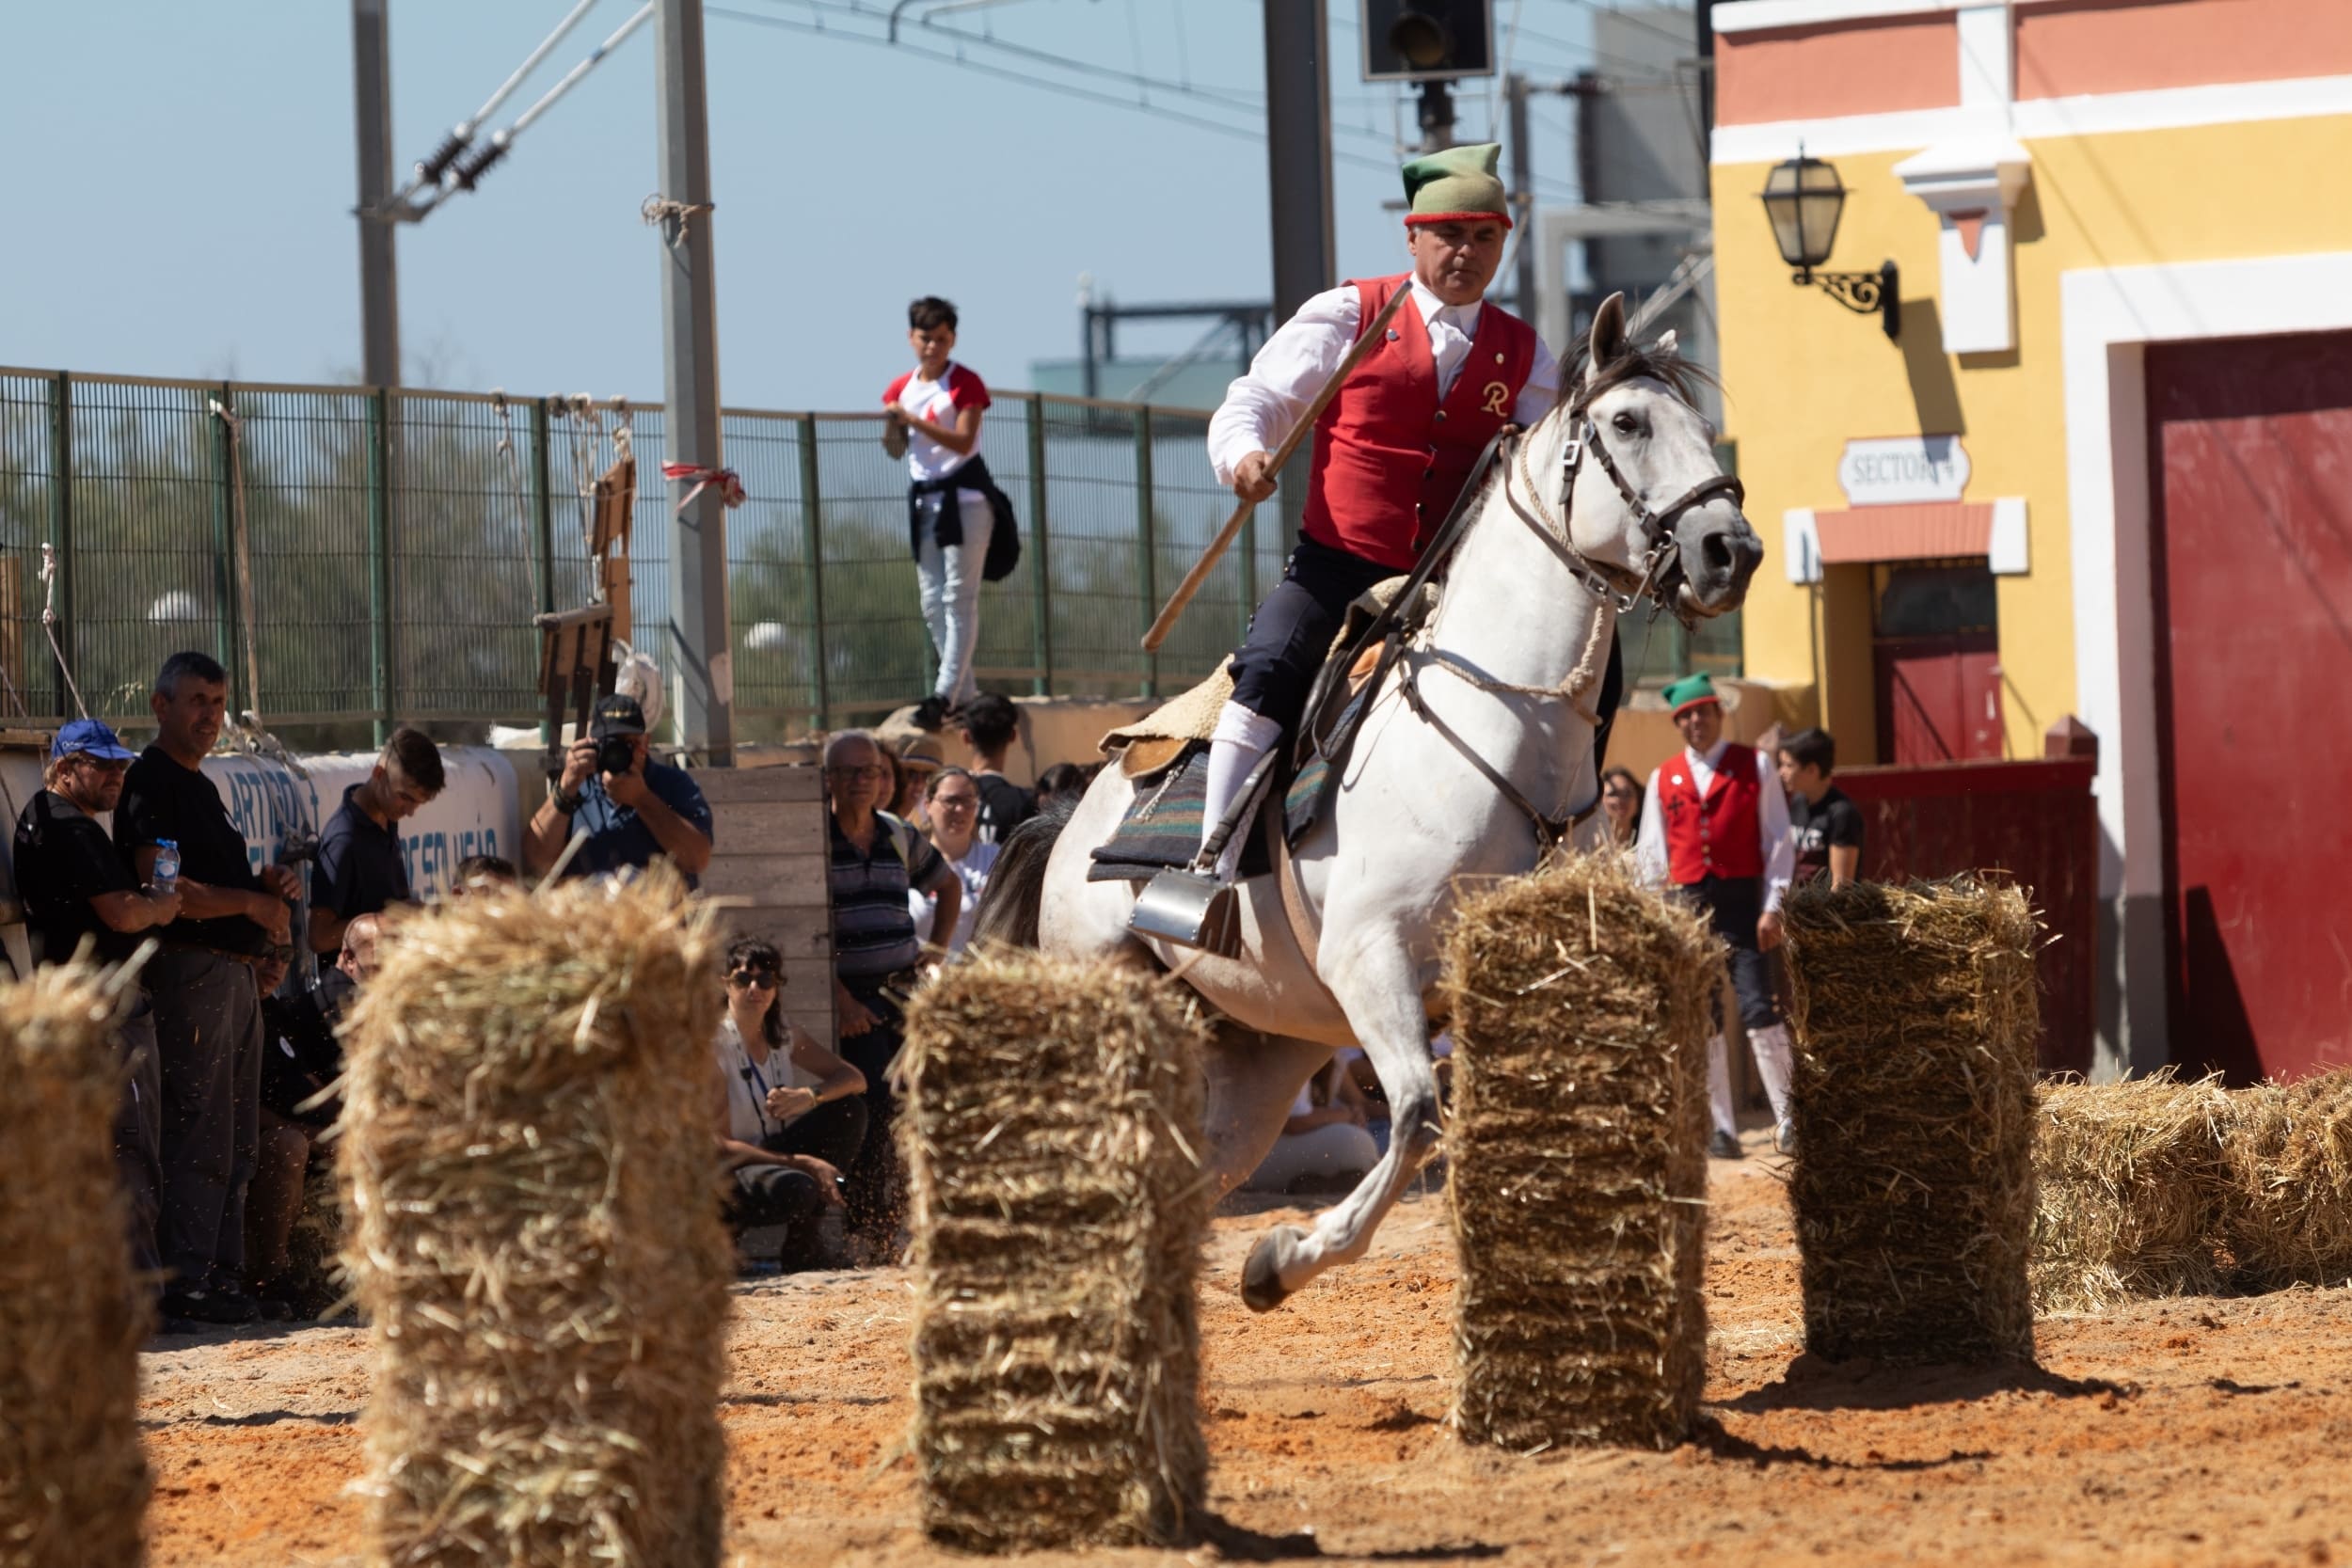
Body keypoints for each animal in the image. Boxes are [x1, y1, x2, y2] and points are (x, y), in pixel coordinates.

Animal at [964, 293, 1759, 1316]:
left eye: (1699, 425)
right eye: (1627, 423)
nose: (1730, 550)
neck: (1501, 726)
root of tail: (1074, 823)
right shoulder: (1371, 957)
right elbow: (1417, 1117)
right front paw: (1288, 1253)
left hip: (1260, 1050)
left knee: (1195, 1167)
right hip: (1124, 994)